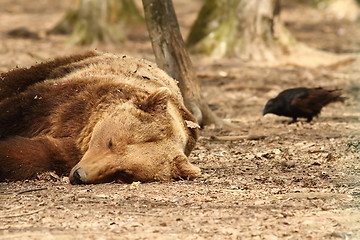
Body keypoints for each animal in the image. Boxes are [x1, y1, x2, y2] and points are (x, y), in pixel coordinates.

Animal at [0, 51, 200, 184]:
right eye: (110, 142)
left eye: (124, 172)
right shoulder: (68, 104)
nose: (79, 175)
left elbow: (35, 154)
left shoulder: (72, 148)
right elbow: (17, 112)